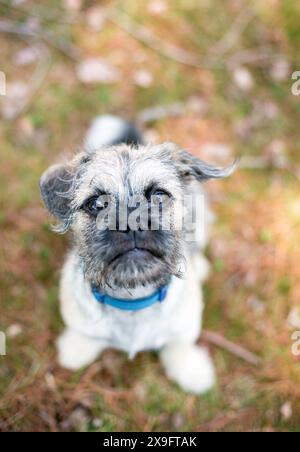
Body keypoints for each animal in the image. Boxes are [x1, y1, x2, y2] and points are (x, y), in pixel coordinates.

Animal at [39, 115, 234, 394]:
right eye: (96, 203)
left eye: (159, 196)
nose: (131, 224)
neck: (132, 298)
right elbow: (84, 333)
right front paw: (77, 349)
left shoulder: (185, 325)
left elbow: (179, 345)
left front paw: (191, 370)